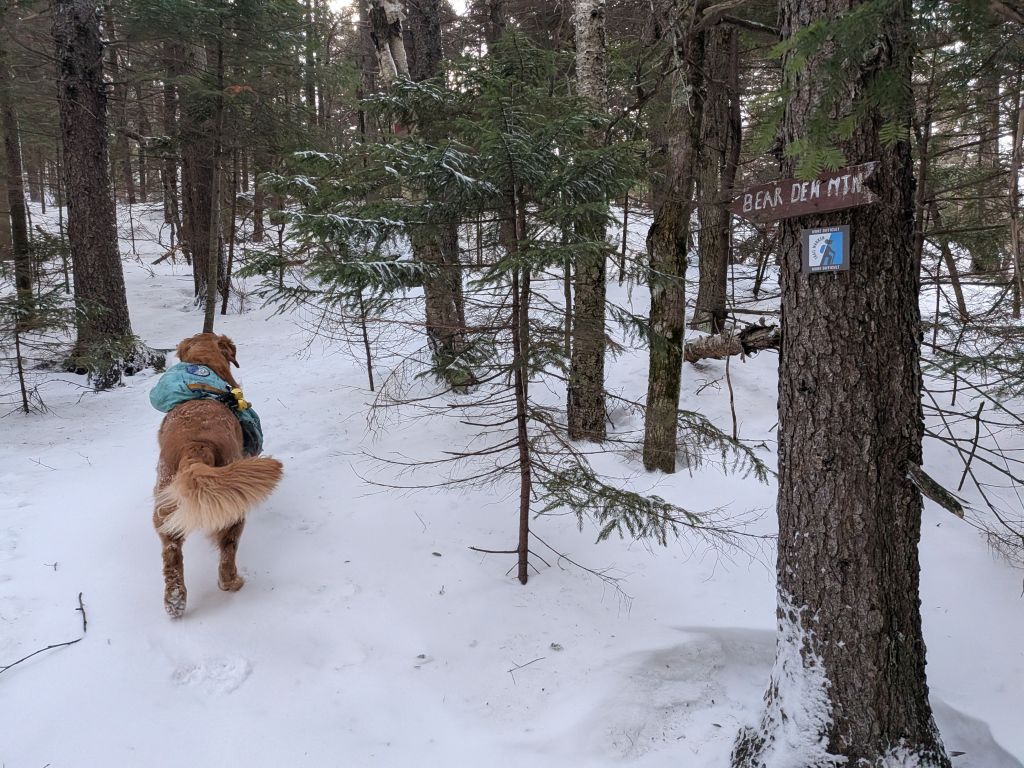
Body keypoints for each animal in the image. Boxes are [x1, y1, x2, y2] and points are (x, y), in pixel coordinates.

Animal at [152, 333, 283, 618]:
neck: (203, 365)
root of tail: (196, 446)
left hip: (164, 509)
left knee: (171, 554)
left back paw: (175, 602)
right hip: (233, 508)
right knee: (226, 556)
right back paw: (234, 582)